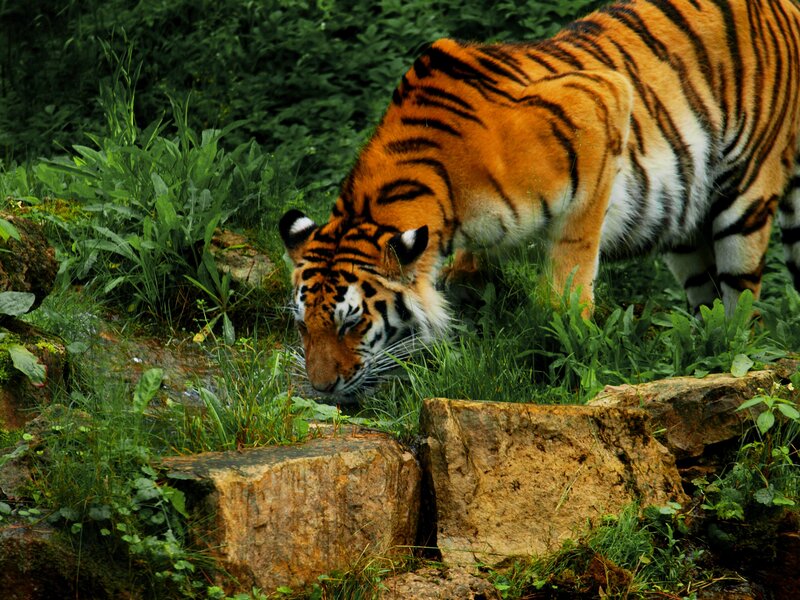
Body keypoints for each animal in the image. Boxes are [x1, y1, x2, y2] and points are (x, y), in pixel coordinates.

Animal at [280, 0, 800, 396]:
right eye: (304, 325)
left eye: (351, 324)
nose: (322, 389)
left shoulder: (601, 110)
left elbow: (568, 278)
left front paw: (567, 356)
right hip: (688, 231)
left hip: (744, 197)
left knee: (742, 308)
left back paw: (729, 356)